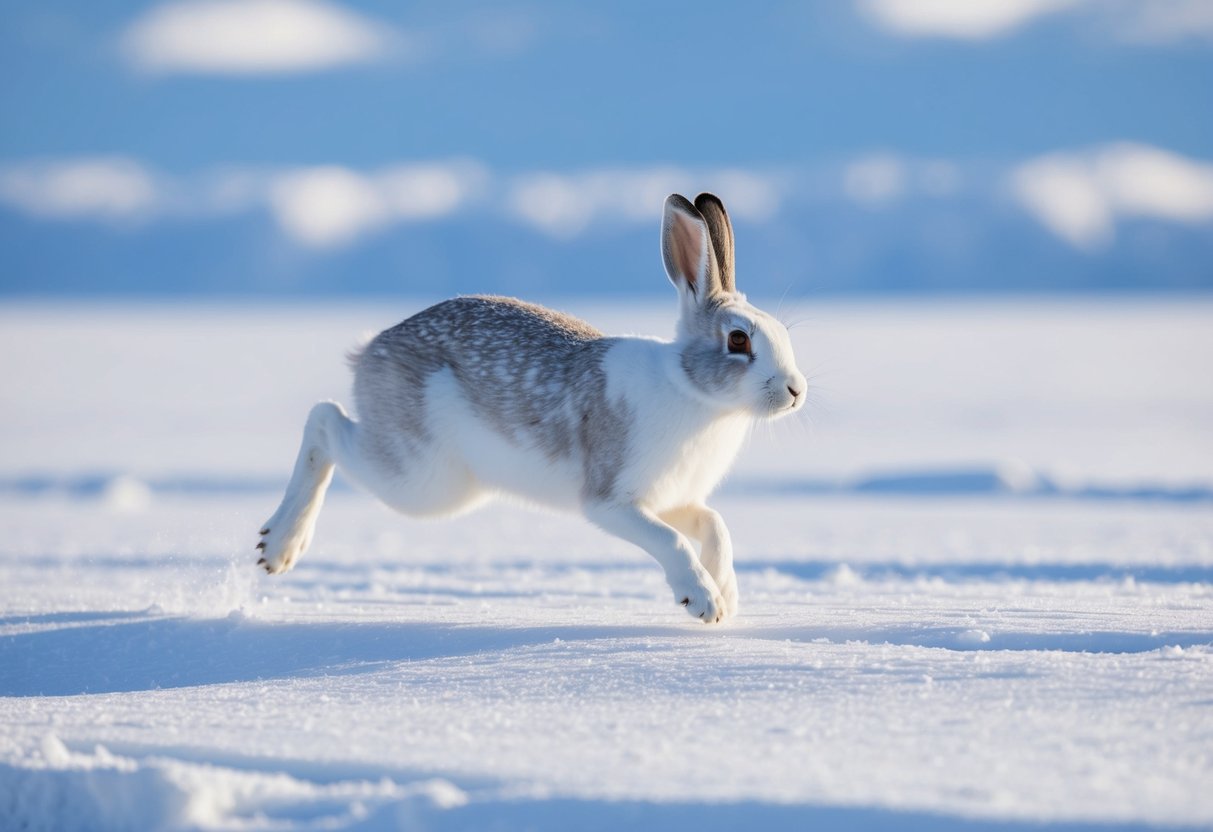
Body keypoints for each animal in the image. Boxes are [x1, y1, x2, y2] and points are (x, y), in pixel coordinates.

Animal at [256, 192, 806, 623]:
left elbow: (714, 525)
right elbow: (669, 541)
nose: (796, 389)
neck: (692, 391)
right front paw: (703, 603)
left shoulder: (674, 500)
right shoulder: (612, 502)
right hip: (422, 479)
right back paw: (278, 545)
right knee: (324, 420)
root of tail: (371, 352)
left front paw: (727, 596)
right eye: (738, 340)